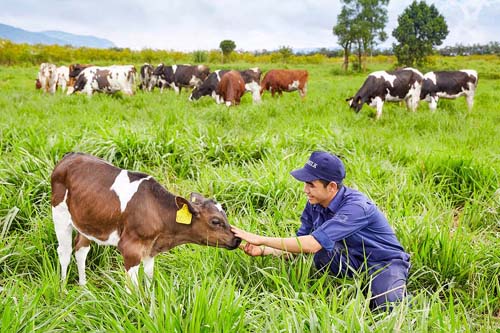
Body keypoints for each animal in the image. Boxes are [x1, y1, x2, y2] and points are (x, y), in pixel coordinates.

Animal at [49, 152, 241, 286]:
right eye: (215, 221)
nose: (237, 239)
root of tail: (70, 155)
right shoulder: (130, 249)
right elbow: (132, 288)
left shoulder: (150, 249)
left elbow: (149, 280)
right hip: (59, 214)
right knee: (64, 252)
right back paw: (63, 289)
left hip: (87, 220)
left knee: (81, 250)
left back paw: (83, 288)